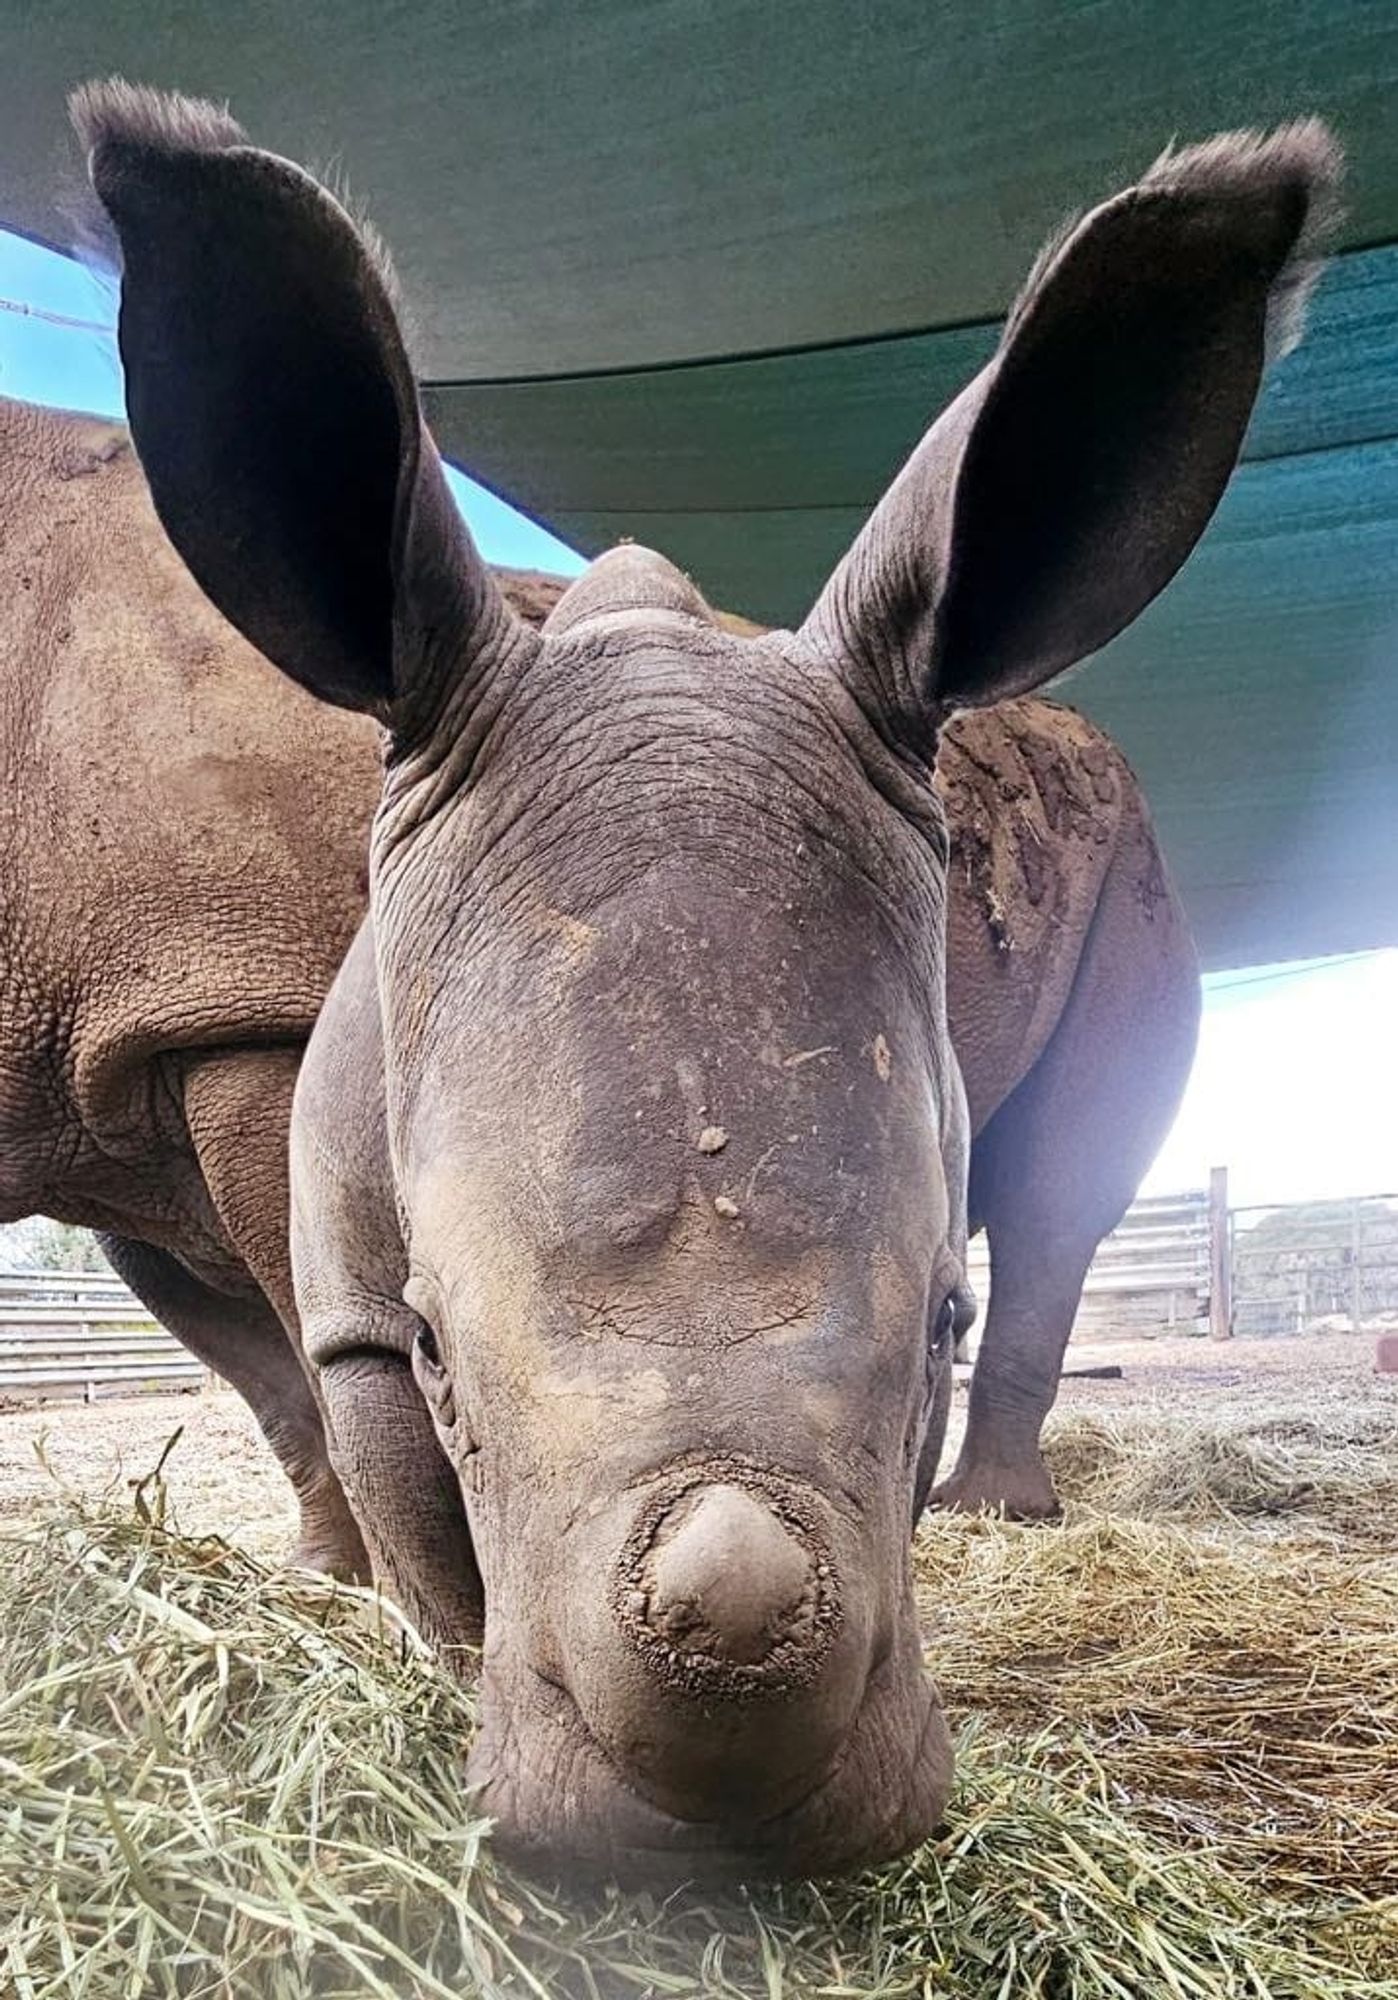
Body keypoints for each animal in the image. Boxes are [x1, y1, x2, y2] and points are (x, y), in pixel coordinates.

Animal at [79, 78, 1336, 1880]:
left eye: (938, 1319)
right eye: (436, 1343)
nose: (733, 1794)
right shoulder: (352, 1312)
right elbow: (416, 1527)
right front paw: (486, 1746)